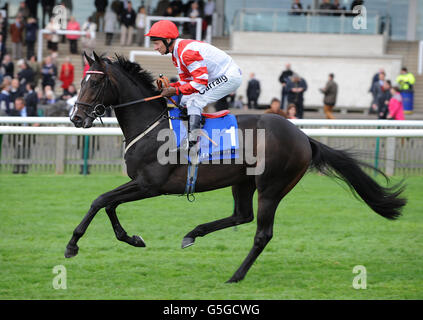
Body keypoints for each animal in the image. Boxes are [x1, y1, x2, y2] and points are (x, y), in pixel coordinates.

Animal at [67, 52, 408, 282]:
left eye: (95, 81)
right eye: (81, 80)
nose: (77, 118)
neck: (152, 126)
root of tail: (303, 136)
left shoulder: (150, 185)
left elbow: (100, 200)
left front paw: (72, 245)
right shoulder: (141, 184)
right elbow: (108, 204)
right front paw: (132, 239)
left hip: (271, 187)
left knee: (262, 233)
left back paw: (236, 275)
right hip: (242, 181)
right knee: (242, 215)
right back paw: (193, 233)